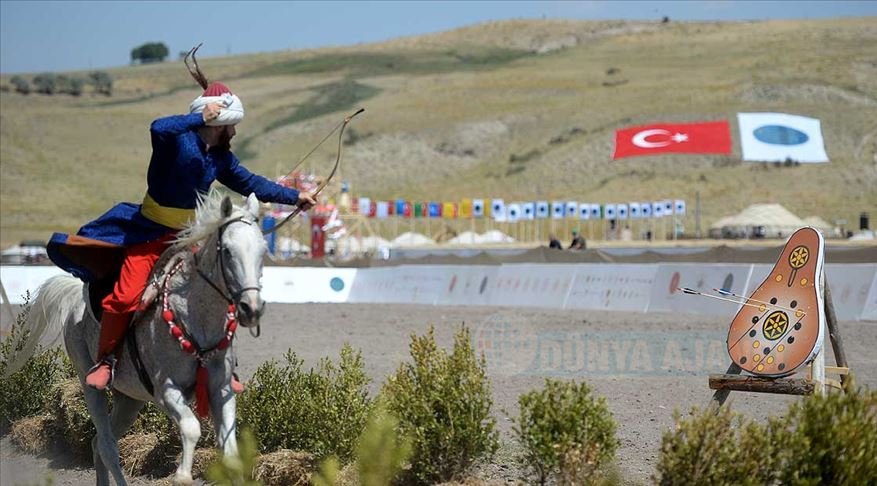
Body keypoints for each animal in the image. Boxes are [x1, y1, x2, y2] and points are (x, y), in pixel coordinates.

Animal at [12, 191, 264, 486]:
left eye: (262, 250)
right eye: (227, 251)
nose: (251, 308)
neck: (194, 314)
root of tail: (76, 296)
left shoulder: (220, 390)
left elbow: (231, 455)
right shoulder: (166, 390)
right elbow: (191, 428)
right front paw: (182, 475)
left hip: (130, 400)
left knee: (98, 443)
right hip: (90, 385)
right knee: (107, 445)